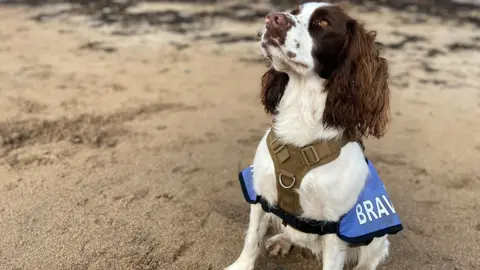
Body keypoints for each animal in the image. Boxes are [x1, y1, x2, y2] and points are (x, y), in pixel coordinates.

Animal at [227, 2, 392, 270]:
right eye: (294, 11)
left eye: (323, 23)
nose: (272, 18)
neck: (302, 110)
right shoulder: (260, 193)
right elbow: (252, 239)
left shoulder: (335, 227)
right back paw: (282, 240)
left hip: (377, 238)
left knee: (373, 256)